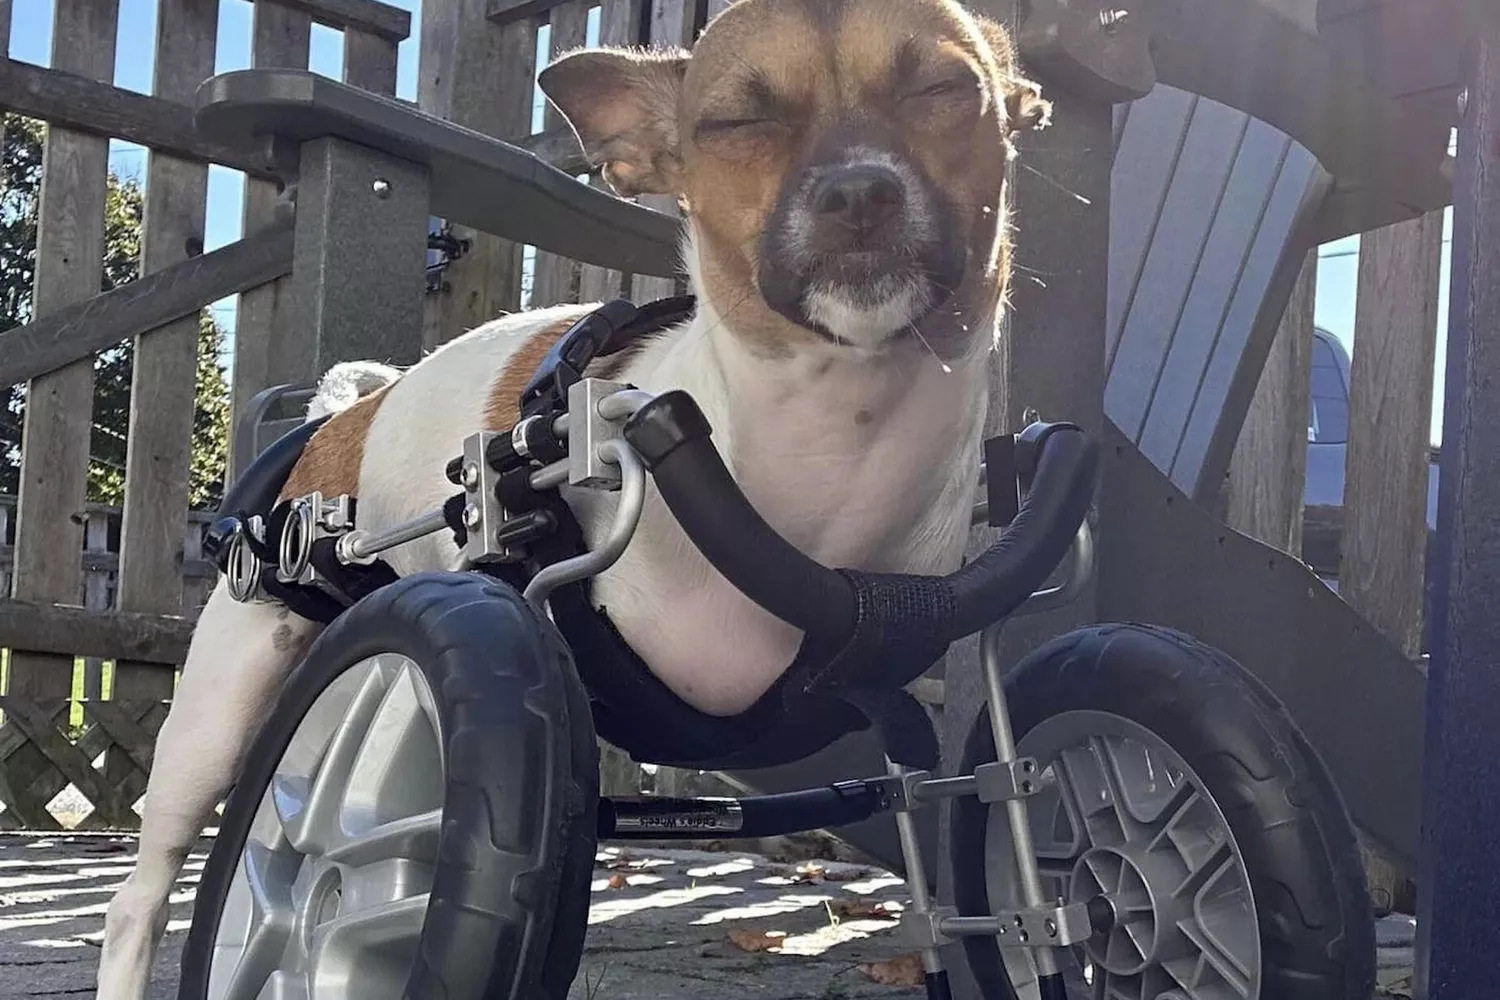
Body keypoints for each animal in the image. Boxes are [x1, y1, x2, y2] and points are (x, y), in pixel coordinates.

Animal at [99, 0, 1050, 995]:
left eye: (944, 89)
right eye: (735, 123)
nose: (859, 188)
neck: (835, 437)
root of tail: (334, 421)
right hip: (217, 711)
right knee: (143, 892)